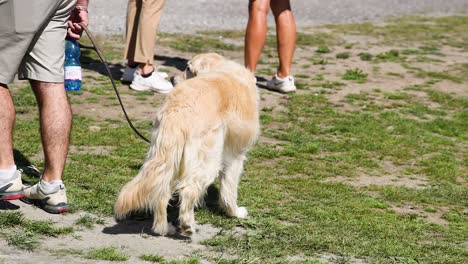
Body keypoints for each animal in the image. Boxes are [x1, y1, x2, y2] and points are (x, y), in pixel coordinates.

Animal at [113, 53, 260, 235]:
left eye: (188, 69)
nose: (172, 78)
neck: (220, 67)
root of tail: (178, 110)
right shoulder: (236, 156)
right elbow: (229, 189)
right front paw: (235, 212)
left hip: (167, 156)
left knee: (162, 192)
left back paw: (163, 228)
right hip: (209, 158)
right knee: (188, 189)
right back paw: (187, 225)